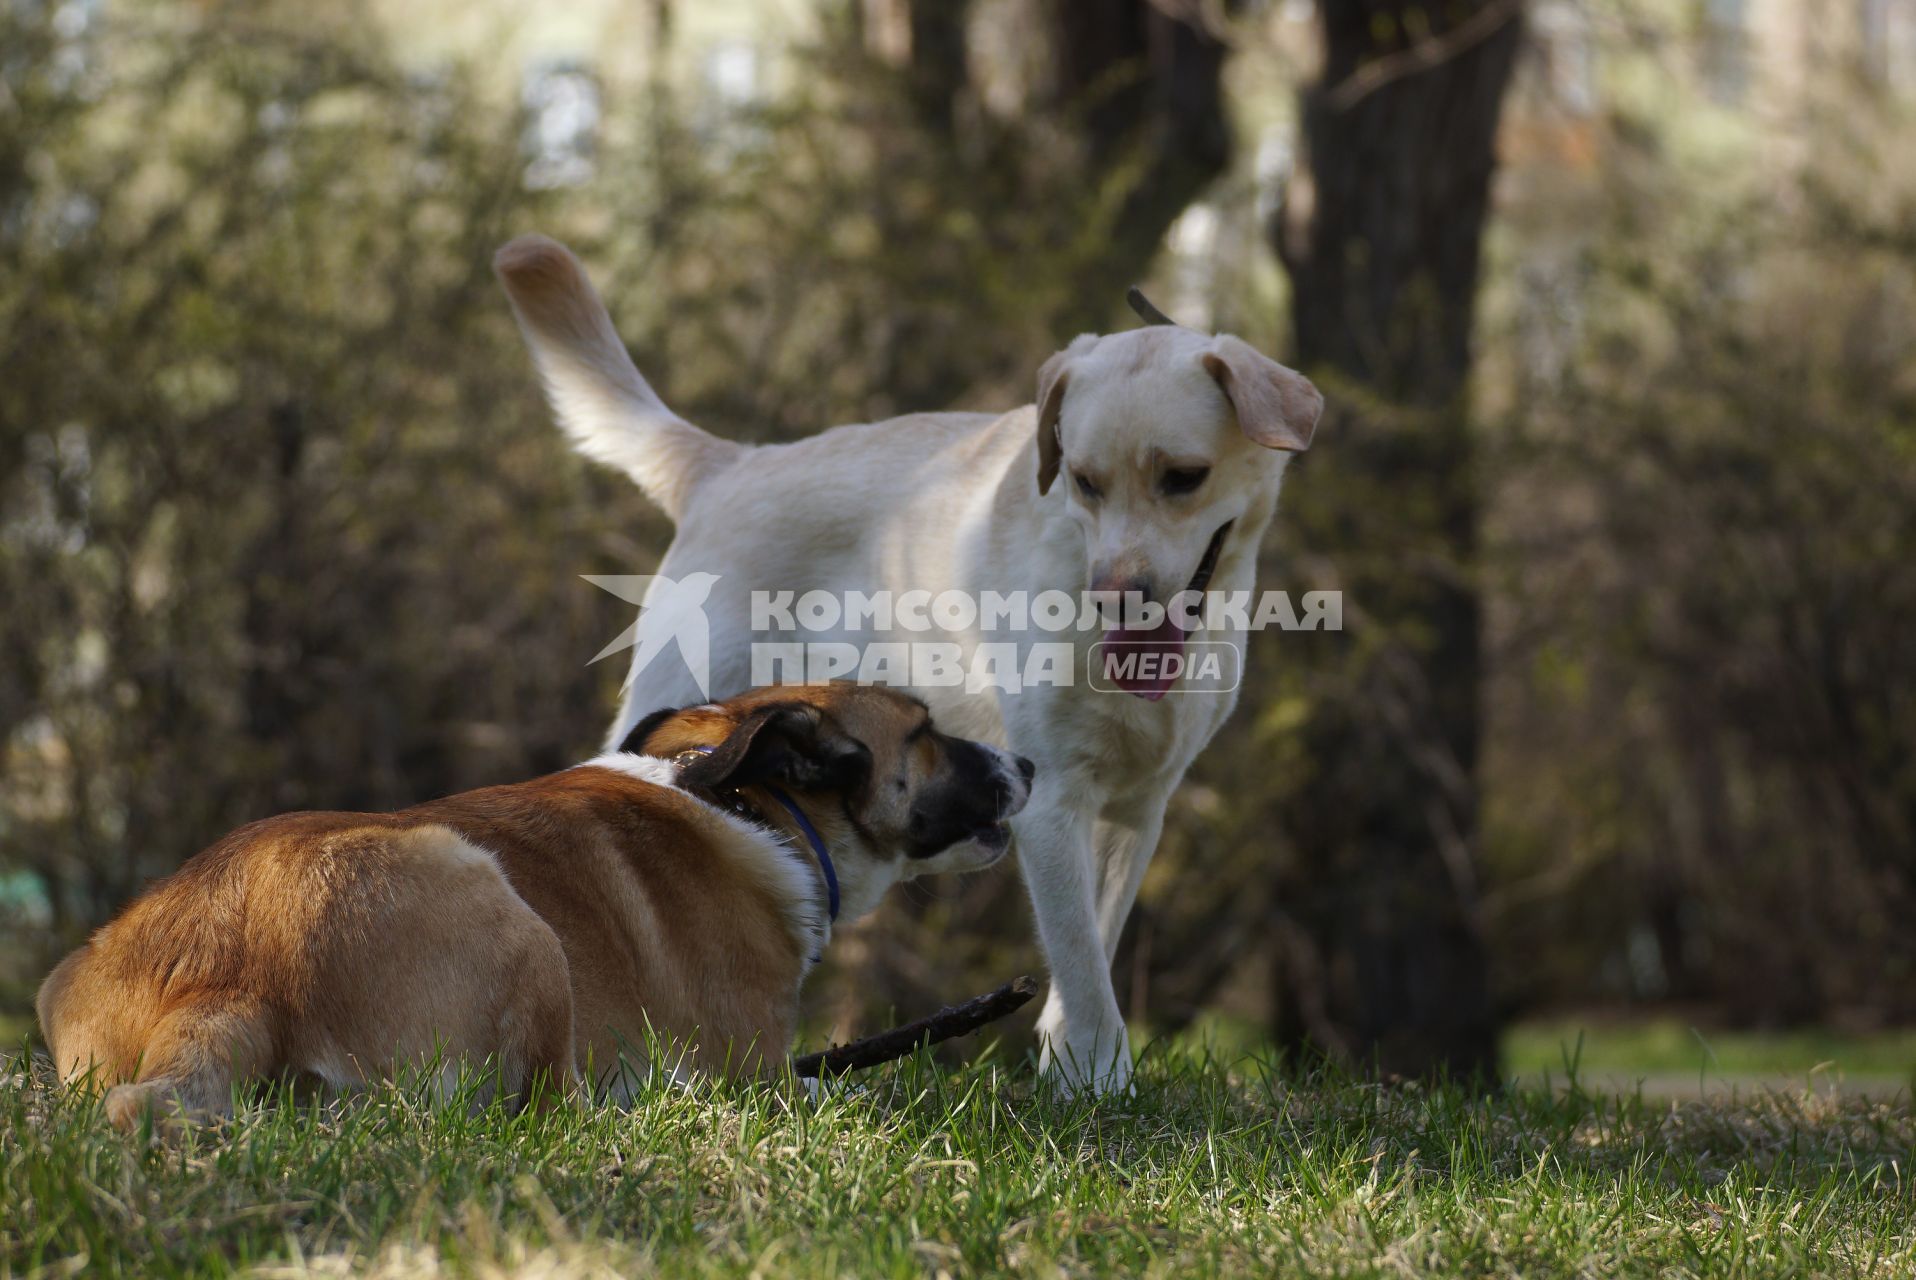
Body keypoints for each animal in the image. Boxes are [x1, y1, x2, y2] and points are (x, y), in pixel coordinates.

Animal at [37, 678, 1026, 1126]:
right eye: (925, 731)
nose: (1027, 763)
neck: (754, 805)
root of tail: (229, 972)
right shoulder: (756, 1070)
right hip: (518, 920)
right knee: (552, 1109)